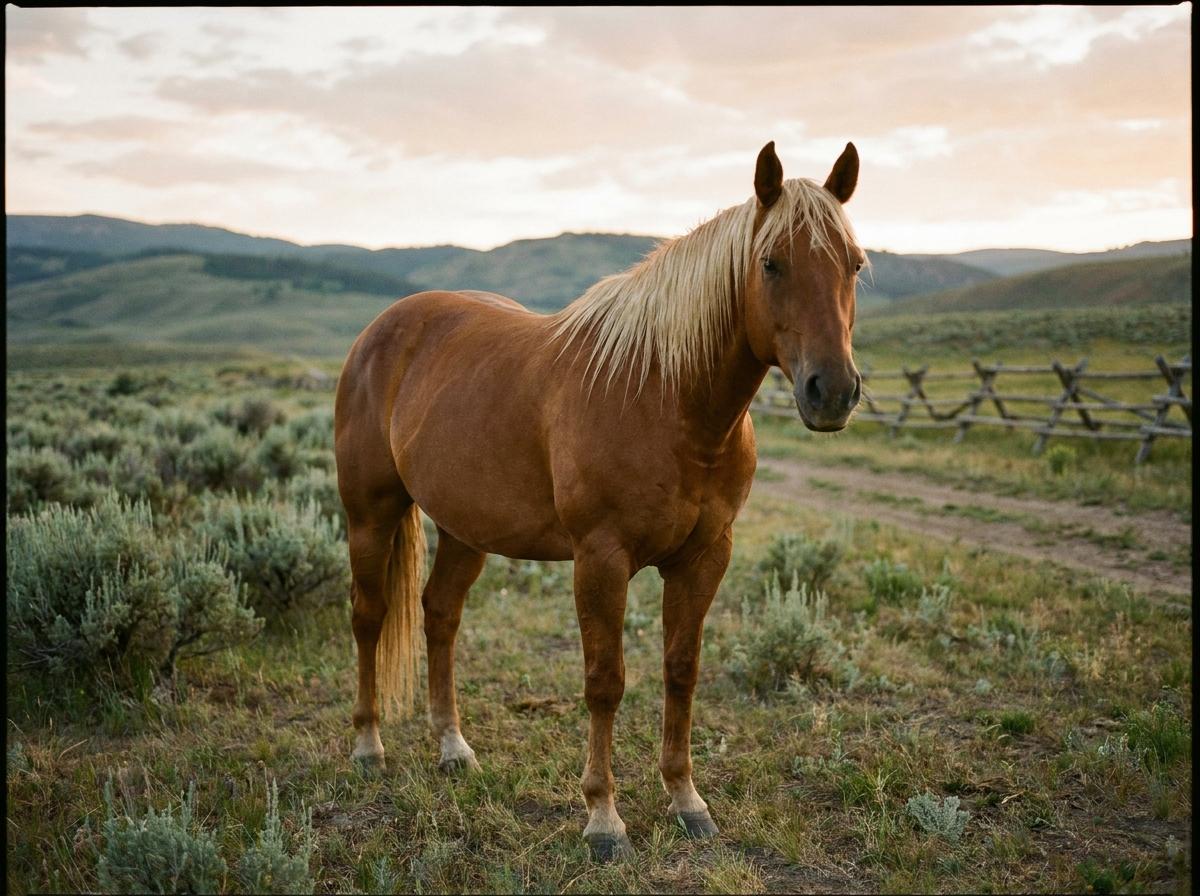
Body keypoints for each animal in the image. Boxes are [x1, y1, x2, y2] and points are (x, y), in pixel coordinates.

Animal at [333, 140, 864, 861]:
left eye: (855, 264)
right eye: (771, 263)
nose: (831, 391)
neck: (665, 399)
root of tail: (381, 329)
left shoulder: (705, 557)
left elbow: (680, 670)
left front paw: (687, 801)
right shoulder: (601, 560)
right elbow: (605, 682)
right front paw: (604, 820)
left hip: (465, 529)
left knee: (439, 616)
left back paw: (453, 748)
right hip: (370, 514)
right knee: (368, 616)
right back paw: (368, 746)